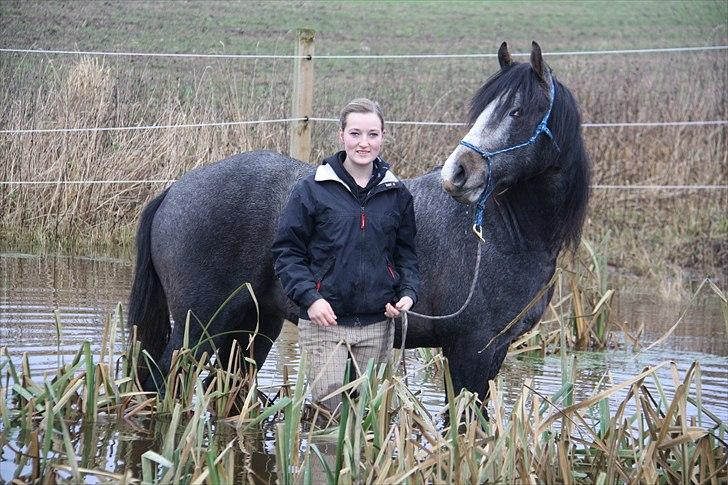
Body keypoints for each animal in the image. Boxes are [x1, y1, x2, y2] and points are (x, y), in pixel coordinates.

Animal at [128, 40, 588, 398]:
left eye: (517, 112)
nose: (457, 173)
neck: (501, 235)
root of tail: (174, 190)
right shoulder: (470, 352)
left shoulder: (491, 354)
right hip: (198, 328)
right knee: (162, 380)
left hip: (253, 328)